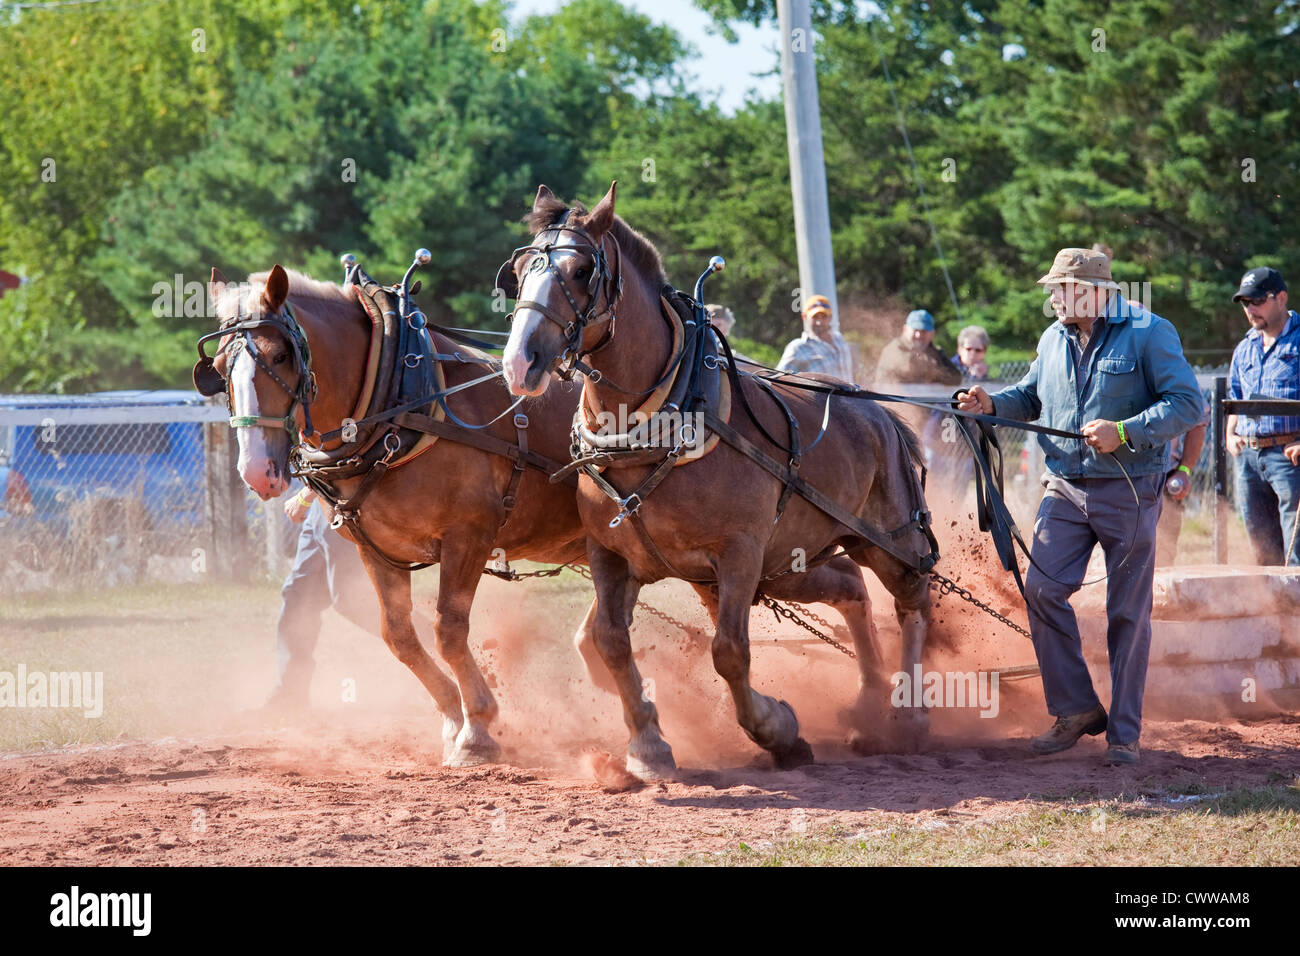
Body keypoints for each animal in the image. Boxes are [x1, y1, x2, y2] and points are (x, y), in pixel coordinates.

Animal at [199, 263, 608, 767]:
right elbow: (399, 636)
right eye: (219, 368)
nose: (257, 469)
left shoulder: (469, 536)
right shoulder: (377, 550)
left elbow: (448, 631)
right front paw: (452, 717)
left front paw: (478, 728)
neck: (400, 406)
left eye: (279, 356)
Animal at [499, 184, 937, 777]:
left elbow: (729, 652)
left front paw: (778, 731)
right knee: (850, 588)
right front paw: (648, 746)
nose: (519, 362)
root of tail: (876, 410)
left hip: (885, 541)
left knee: (913, 599)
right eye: (519, 271)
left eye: (582, 270)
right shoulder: (610, 554)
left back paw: (908, 714)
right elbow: (609, 641)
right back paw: (868, 701)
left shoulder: (739, 554)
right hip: (790, 563)